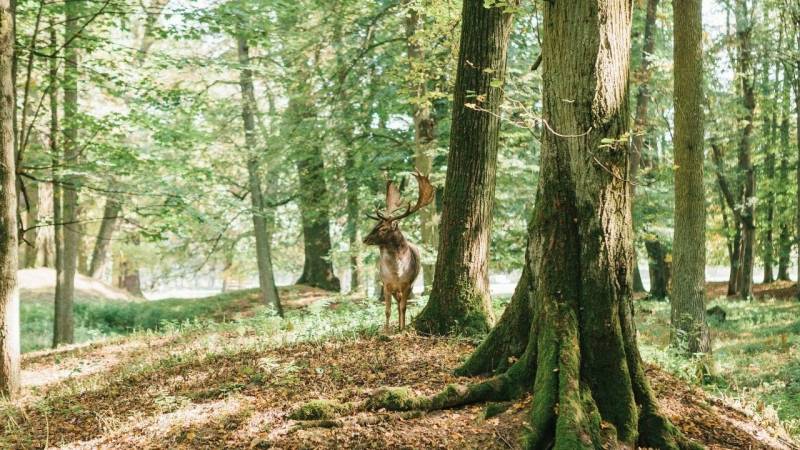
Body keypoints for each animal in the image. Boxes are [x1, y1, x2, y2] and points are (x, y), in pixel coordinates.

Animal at [364, 171, 434, 332]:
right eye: (375, 225)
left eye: (383, 229)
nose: (365, 239)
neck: (396, 273)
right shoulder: (386, 284)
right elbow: (387, 310)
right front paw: (386, 331)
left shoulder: (407, 284)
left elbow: (403, 308)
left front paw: (402, 329)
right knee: (396, 305)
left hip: (410, 285)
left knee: (402, 306)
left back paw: (402, 325)